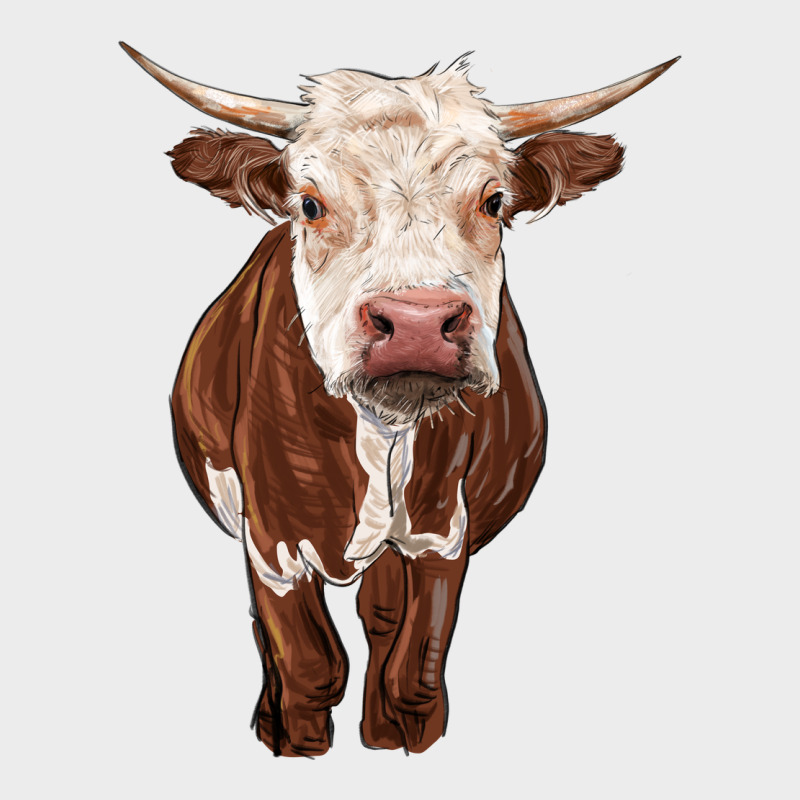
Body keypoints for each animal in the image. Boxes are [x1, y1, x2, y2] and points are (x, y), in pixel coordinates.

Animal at [122, 43, 677, 756]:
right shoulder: (270, 541)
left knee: (381, 620)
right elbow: (310, 667)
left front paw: (402, 740)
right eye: (309, 204)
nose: (416, 323)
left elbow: (414, 670)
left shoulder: (442, 529)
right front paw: (295, 745)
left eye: (494, 201)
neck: (381, 434)